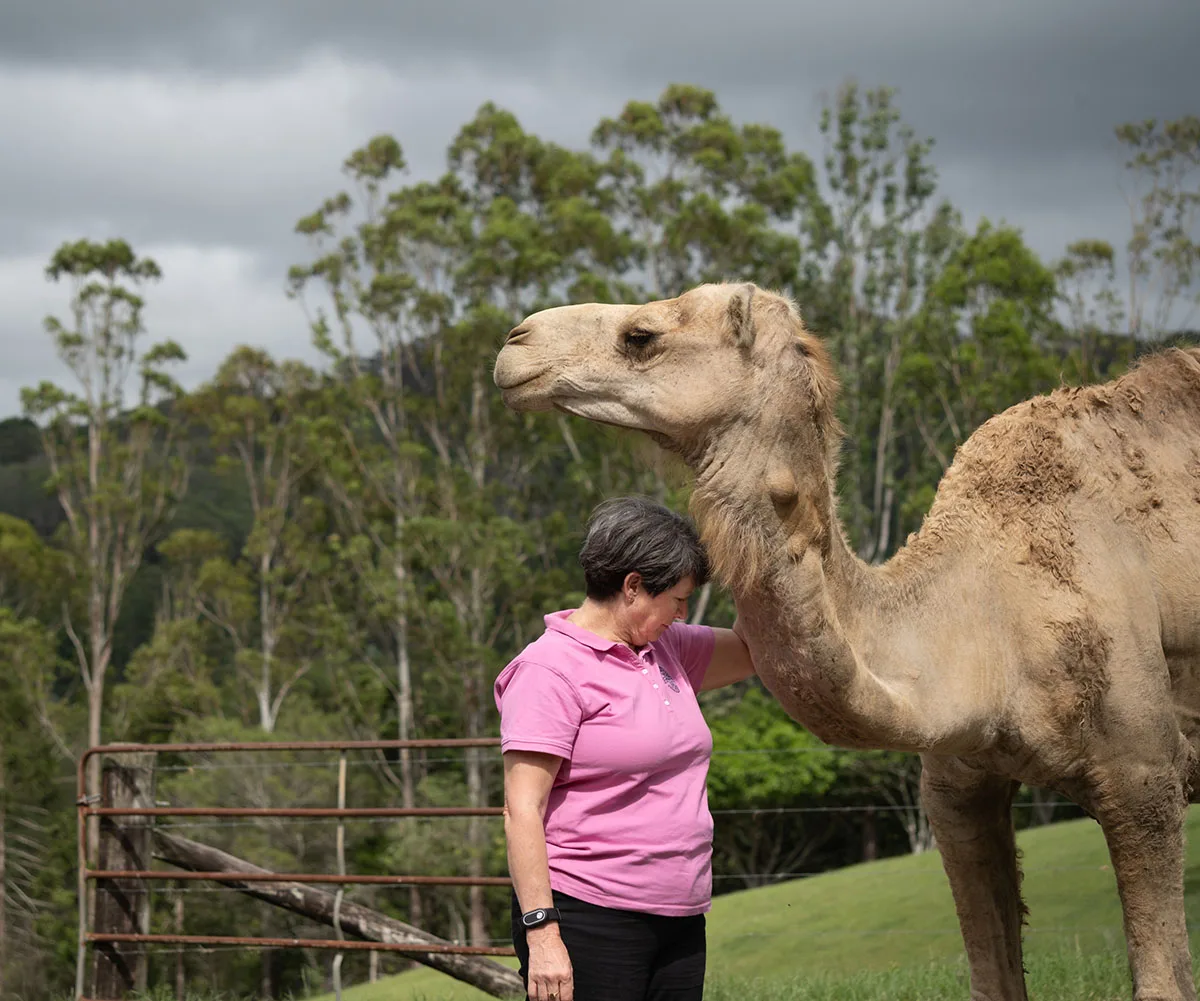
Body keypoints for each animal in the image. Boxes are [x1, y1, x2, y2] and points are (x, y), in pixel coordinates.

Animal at [492, 281, 1200, 1001]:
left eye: (641, 336)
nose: (514, 343)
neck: (987, 620)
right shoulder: (956, 788)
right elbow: (994, 977)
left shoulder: (1143, 773)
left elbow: (1164, 980)